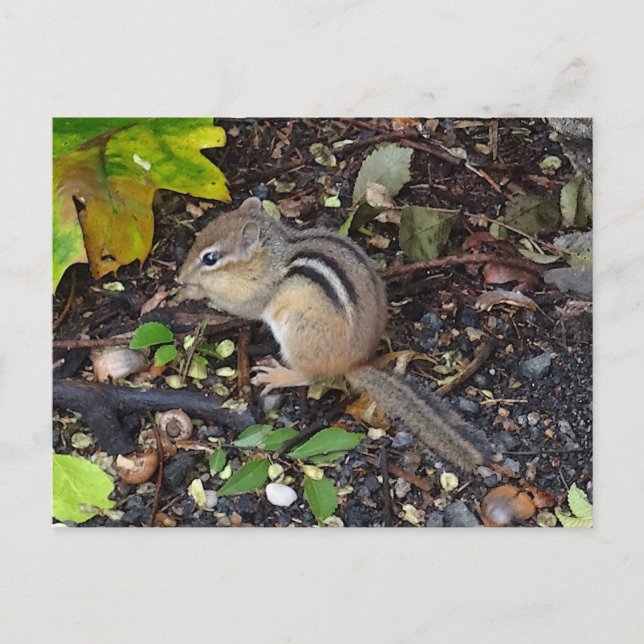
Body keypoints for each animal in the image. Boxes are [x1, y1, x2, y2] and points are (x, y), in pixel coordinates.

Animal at [177, 197, 490, 472]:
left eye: (210, 258)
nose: (180, 276)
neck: (271, 256)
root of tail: (354, 364)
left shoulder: (256, 293)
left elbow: (241, 307)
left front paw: (194, 291)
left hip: (296, 334)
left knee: (309, 376)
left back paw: (278, 375)